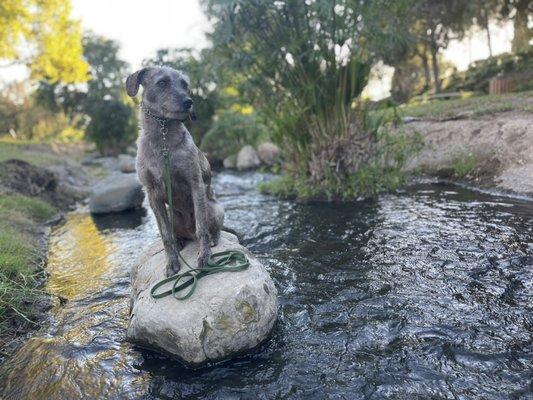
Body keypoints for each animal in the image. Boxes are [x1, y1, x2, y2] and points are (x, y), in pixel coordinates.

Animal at [127, 67, 224, 276]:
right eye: (162, 82)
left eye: (185, 85)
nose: (189, 102)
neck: (163, 139)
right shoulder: (152, 194)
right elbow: (165, 235)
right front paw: (171, 262)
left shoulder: (195, 183)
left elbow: (202, 228)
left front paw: (204, 256)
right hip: (172, 214)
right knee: (176, 233)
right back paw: (180, 241)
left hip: (213, 208)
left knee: (209, 229)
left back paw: (213, 238)